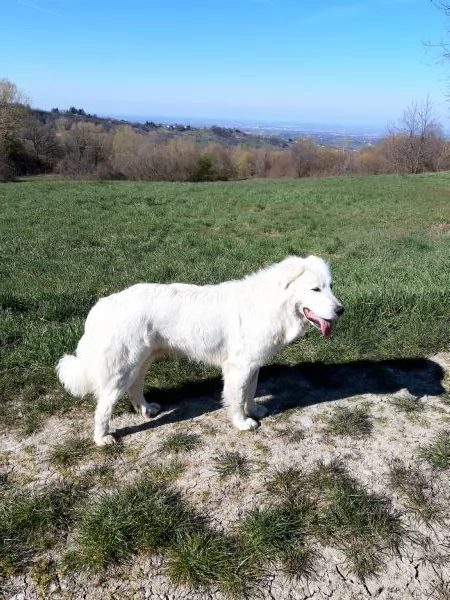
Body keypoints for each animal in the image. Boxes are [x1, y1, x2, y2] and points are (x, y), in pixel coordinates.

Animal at [57, 254, 344, 446]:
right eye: (315, 289)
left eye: (330, 287)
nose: (341, 310)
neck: (274, 303)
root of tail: (103, 304)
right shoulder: (238, 367)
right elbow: (236, 398)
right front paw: (242, 423)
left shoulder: (252, 365)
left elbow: (250, 392)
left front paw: (255, 411)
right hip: (122, 369)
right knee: (103, 406)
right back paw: (102, 438)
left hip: (142, 361)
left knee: (135, 387)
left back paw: (146, 409)